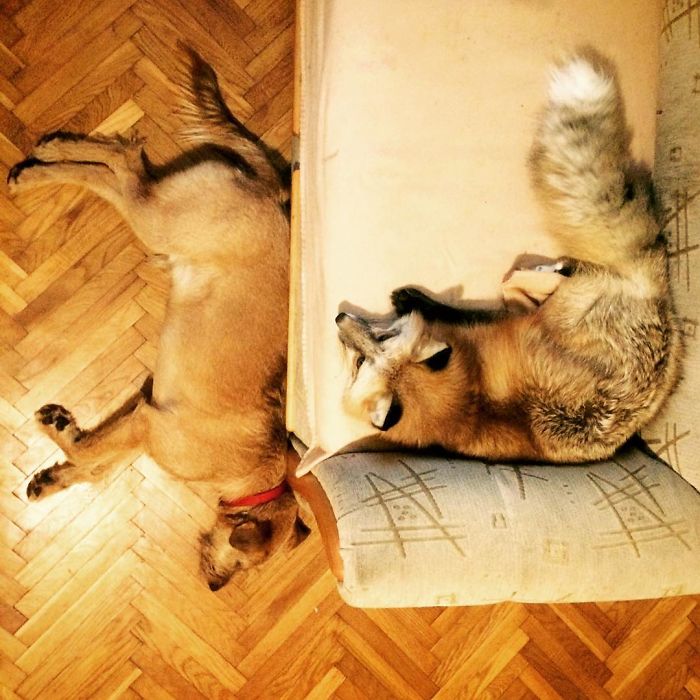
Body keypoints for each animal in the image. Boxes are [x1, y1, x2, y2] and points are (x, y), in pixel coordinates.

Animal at [336, 54, 683, 464]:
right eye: (362, 359)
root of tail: (657, 288)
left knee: (530, 279)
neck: (468, 400)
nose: (338, 318)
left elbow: (457, 311)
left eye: (375, 345)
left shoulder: (489, 325)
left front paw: (414, 301)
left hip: (542, 300)